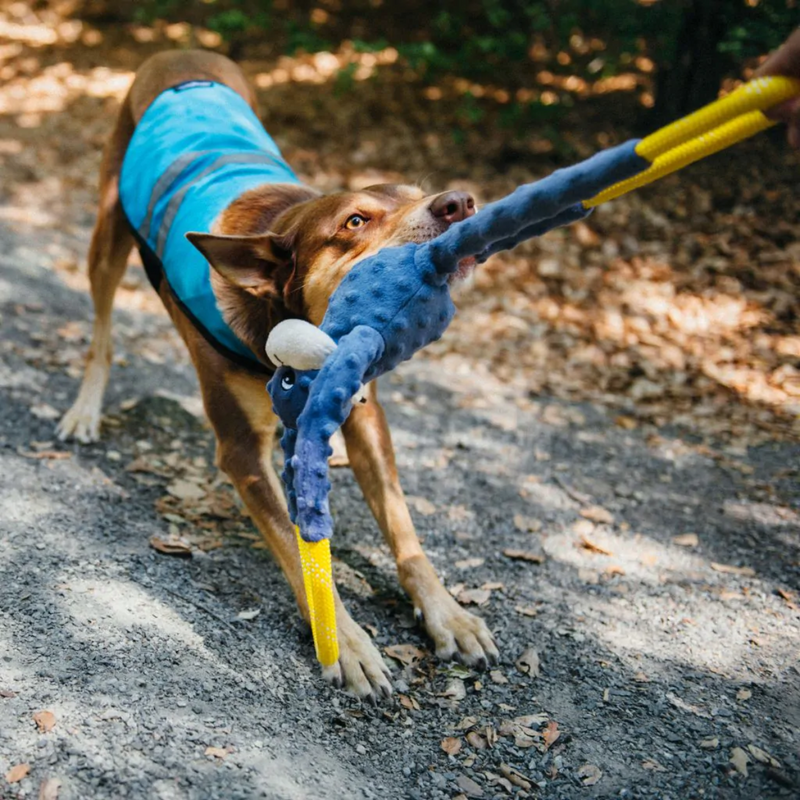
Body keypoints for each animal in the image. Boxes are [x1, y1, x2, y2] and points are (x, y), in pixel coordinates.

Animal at [59, 51, 496, 700]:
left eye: (421, 194)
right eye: (355, 221)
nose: (460, 203)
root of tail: (182, 54)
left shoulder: (367, 417)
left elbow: (405, 530)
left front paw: (447, 614)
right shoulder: (242, 452)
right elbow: (298, 548)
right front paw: (348, 643)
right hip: (108, 232)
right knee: (103, 330)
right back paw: (85, 409)